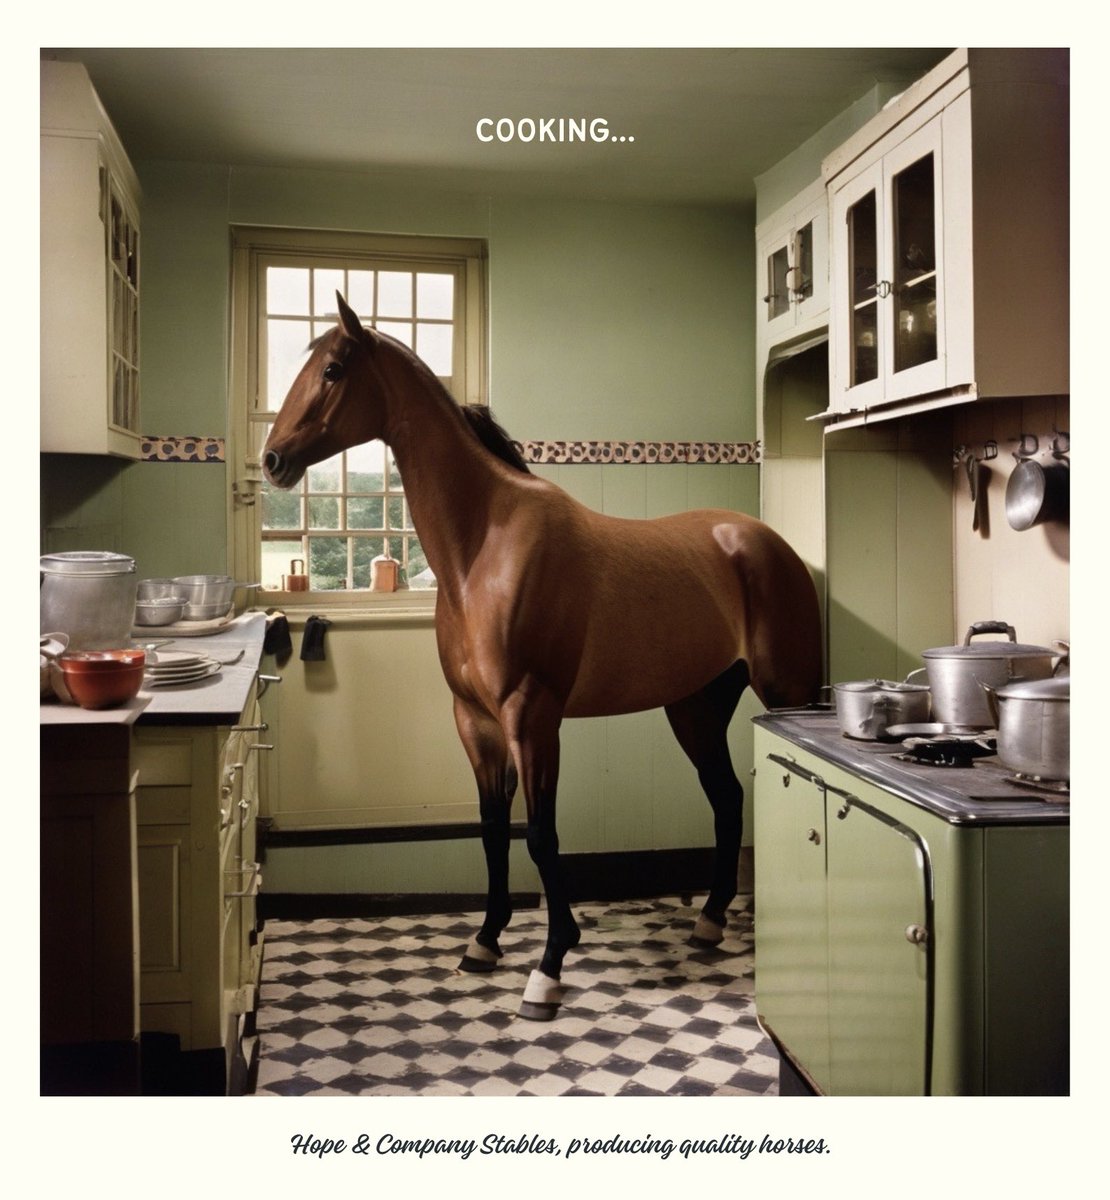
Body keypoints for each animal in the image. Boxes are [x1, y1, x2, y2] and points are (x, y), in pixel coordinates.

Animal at [263, 294, 823, 1021]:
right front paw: (484, 942)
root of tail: (768, 545)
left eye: (331, 369)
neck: (484, 548)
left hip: (785, 697)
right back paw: (707, 921)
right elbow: (492, 829)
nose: (273, 460)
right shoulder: (474, 721)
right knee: (726, 797)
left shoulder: (532, 718)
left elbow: (541, 835)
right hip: (695, 708)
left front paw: (549, 968)